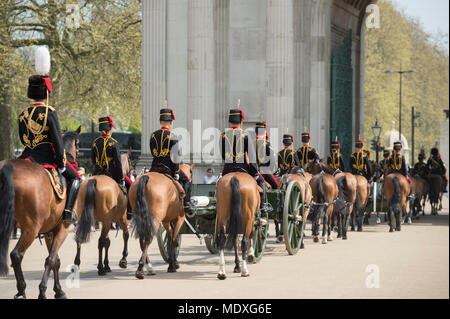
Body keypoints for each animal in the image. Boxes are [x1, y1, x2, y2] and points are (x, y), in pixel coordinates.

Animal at [0, 130, 80, 300]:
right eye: (78, 144)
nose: (73, 161)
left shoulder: (50, 231)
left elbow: (56, 260)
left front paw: (58, 290)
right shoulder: (62, 228)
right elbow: (51, 259)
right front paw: (43, 290)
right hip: (30, 229)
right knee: (16, 255)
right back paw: (21, 289)